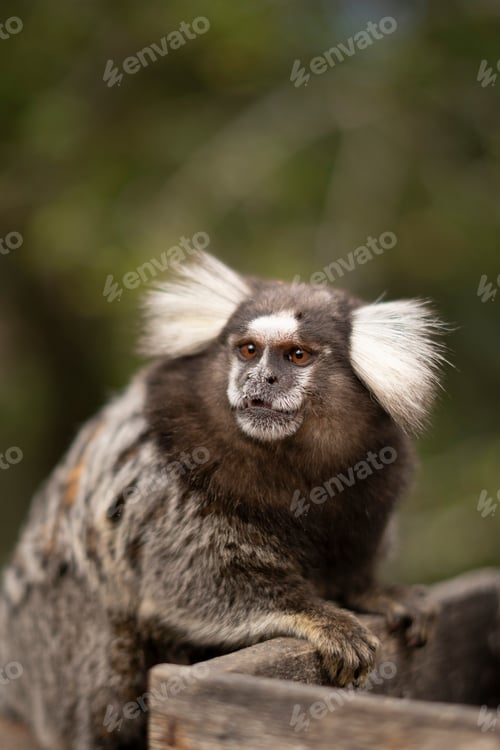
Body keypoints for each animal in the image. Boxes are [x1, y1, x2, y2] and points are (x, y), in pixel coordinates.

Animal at [0, 251, 447, 749]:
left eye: (297, 355)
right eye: (249, 350)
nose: (261, 379)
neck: (287, 461)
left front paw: (373, 592)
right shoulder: (168, 477)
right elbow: (192, 581)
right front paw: (321, 617)